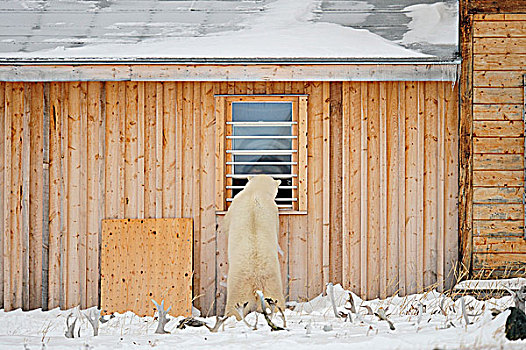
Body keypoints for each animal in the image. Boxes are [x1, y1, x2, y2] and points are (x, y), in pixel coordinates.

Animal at [225, 175, 286, 320]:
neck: (255, 192)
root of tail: (256, 285)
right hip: (272, 287)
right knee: (276, 304)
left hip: (239, 289)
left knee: (234, 309)